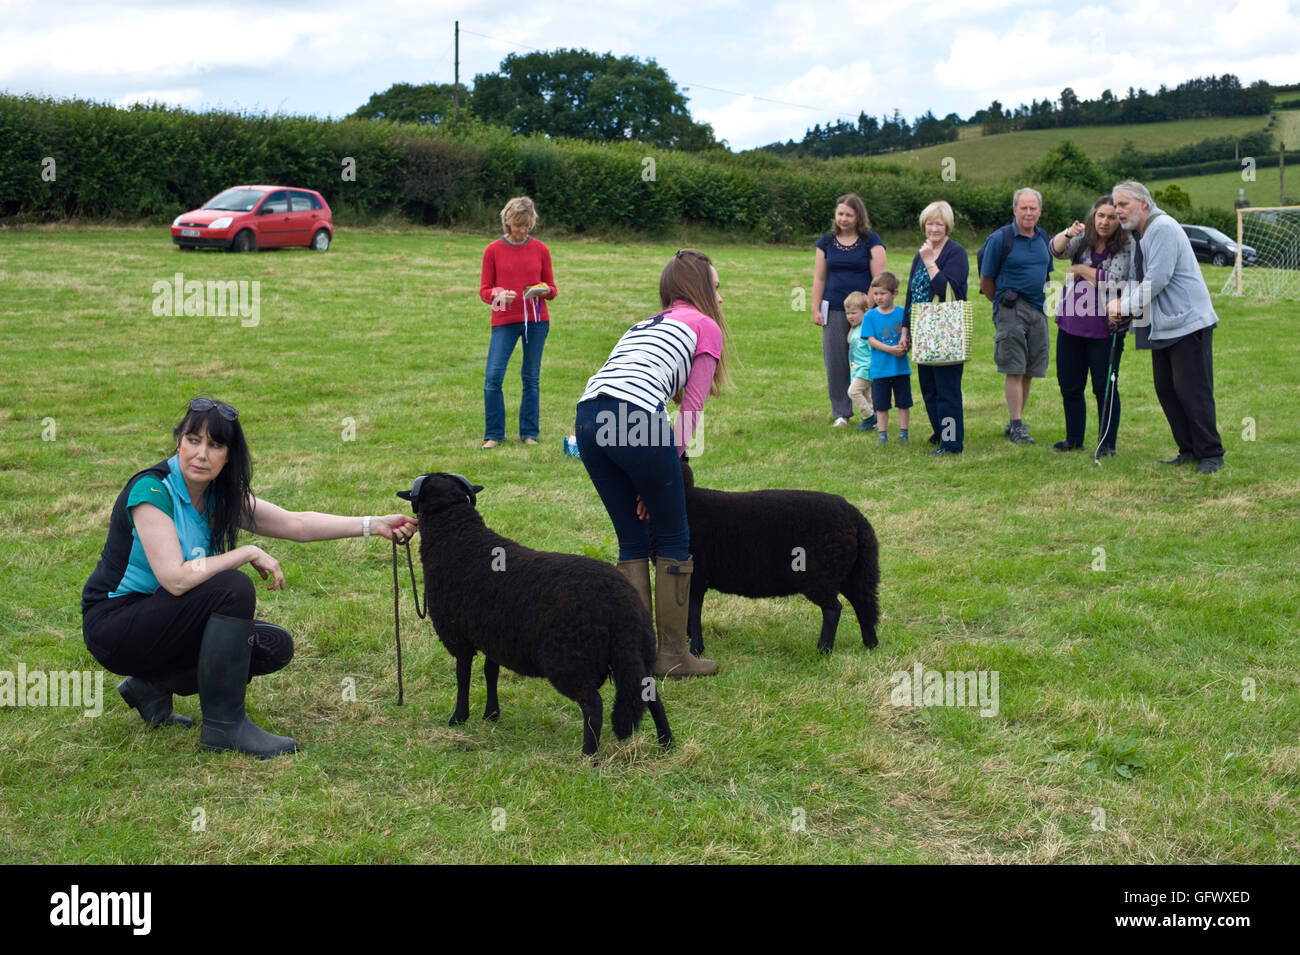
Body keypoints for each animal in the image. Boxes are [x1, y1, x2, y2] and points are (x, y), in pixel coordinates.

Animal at [397, 475, 676, 758]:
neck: (455, 534)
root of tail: (619, 602)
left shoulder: (457, 637)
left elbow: (462, 676)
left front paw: (458, 718)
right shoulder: (493, 636)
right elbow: (490, 672)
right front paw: (491, 714)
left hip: (570, 660)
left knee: (593, 705)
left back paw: (589, 755)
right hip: (636, 652)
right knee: (650, 694)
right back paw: (666, 742)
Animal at [660, 462, 883, 657]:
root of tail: (856, 517)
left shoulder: (696, 575)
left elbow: (692, 611)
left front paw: (694, 651)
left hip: (820, 575)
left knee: (833, 609)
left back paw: (823, 651)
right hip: (854, 572)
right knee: (863, 604)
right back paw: (870, 645)